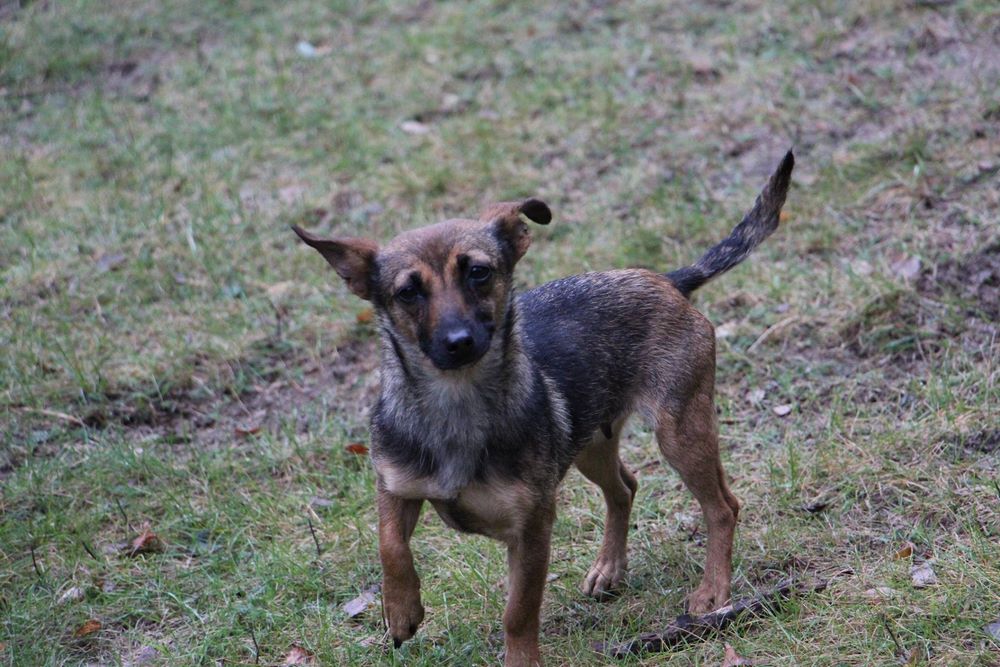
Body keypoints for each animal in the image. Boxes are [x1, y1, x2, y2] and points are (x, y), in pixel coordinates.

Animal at [293, 151, 793, 666]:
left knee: (722, 507)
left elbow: (518, 610)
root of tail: (667, 278)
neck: (456, 402)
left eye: (479, 272)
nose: (458, 341)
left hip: (681, 431)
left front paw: (520, 658)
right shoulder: (395, 486)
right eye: (407, 292)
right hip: (591, 443)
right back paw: (609, 568)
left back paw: (713, 591)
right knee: (625, 488)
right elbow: (390, 545)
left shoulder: (532, 527)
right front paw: (401, 611)